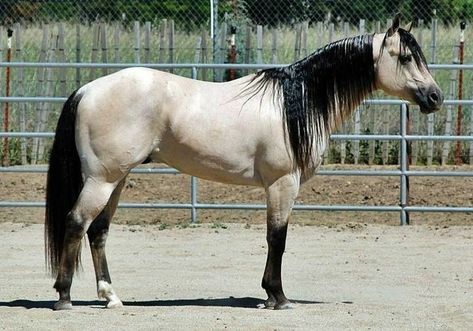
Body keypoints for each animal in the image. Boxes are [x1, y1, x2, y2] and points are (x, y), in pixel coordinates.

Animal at [44, 15, 442, 312]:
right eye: (406, 58)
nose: (436, 97)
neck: (295, 102)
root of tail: (87, 89)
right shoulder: (283, 183)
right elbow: (277, 237)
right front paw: (277, 297)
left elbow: (274, 237)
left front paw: (270, 295)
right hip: (102, 179)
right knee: (76, 222)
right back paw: (64, 296)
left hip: (117, 179)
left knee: (98, 231)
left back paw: (111, 297)